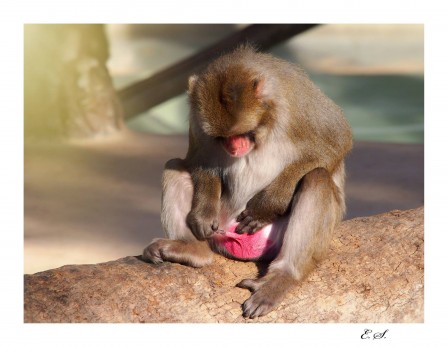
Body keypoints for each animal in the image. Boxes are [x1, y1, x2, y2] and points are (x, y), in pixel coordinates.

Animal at [144, 46, 354, 320]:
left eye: (243, 133)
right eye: (222, 137)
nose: (234, 148)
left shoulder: (297, 99)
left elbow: (337, 140)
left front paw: (266, 205)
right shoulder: (198, 120)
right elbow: (197, 159)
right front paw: (203, 212)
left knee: (317, 178)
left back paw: (284, 275)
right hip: (222, 221)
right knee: (175, 166)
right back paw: (193, 250)